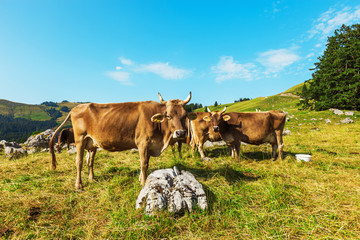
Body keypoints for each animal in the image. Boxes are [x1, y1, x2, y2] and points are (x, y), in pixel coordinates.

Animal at [49, 93, 195, 188]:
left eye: (184, 115)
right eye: (168, 116)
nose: (181, 132)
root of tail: (75, 108)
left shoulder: (149, 145)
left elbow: (146, 163)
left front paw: (141, 179)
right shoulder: (143, 143)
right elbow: (144, 164)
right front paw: (143, 183)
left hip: (91, 143)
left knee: (89, 161)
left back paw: (91, 178)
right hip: (79, 139)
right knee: (78, 161)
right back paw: (79, 184)